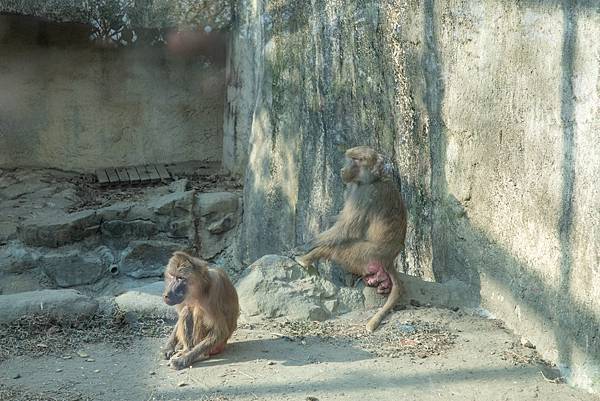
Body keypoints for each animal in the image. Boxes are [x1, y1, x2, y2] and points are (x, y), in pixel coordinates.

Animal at [296, 145, 408, 330]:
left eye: (357, 160)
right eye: (349, 158)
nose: (343, 170)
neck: (373, 179)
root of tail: (389, 259)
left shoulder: (366, 194)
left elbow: (347, 229)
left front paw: (304, 247)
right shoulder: (353, 188)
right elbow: (340, 221)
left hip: (367, 253)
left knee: (336, 249)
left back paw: (304, 260)